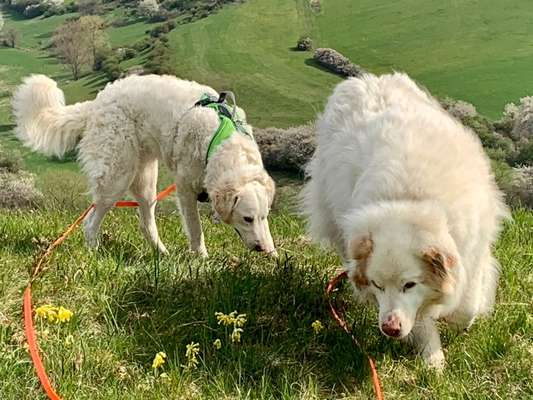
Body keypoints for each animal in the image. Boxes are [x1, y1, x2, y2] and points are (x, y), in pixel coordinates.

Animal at [14, 74, 276, 256]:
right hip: (116, 178)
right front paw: (201, 257)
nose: (262, 249)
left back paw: (161, 253)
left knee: (145, 222)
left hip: (146, 181)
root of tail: (98, 101)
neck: (220, 140)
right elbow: (195, 229)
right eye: (247, 219)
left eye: (263, 217)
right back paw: (93, 253)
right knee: (90, 222)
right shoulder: (185, 189)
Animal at [304, 72, 508, 368]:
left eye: (409, 284)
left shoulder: (472, 248)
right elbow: (421, 320)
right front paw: (432, 360)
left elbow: (466, 306)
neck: (411, 201)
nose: (389, 328)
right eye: (377, 285)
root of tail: (358, 80)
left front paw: (463, 318)